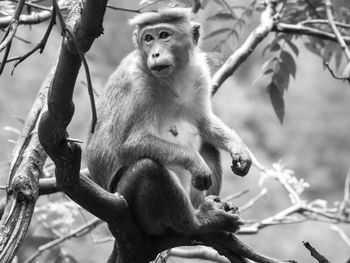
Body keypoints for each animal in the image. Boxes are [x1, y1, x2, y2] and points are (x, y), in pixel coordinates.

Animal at [87, 7, 252, 236]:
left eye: (164, 35)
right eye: (148, 38)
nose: (155, 53)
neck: (172, 77)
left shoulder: (199, 72)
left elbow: (203, 122)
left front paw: (240, 149)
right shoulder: (137, 85)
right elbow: (130, 144)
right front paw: (196, 163)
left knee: (208, 147)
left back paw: (211, 208)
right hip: (127, 199)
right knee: (147, 168)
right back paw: (201, 222)